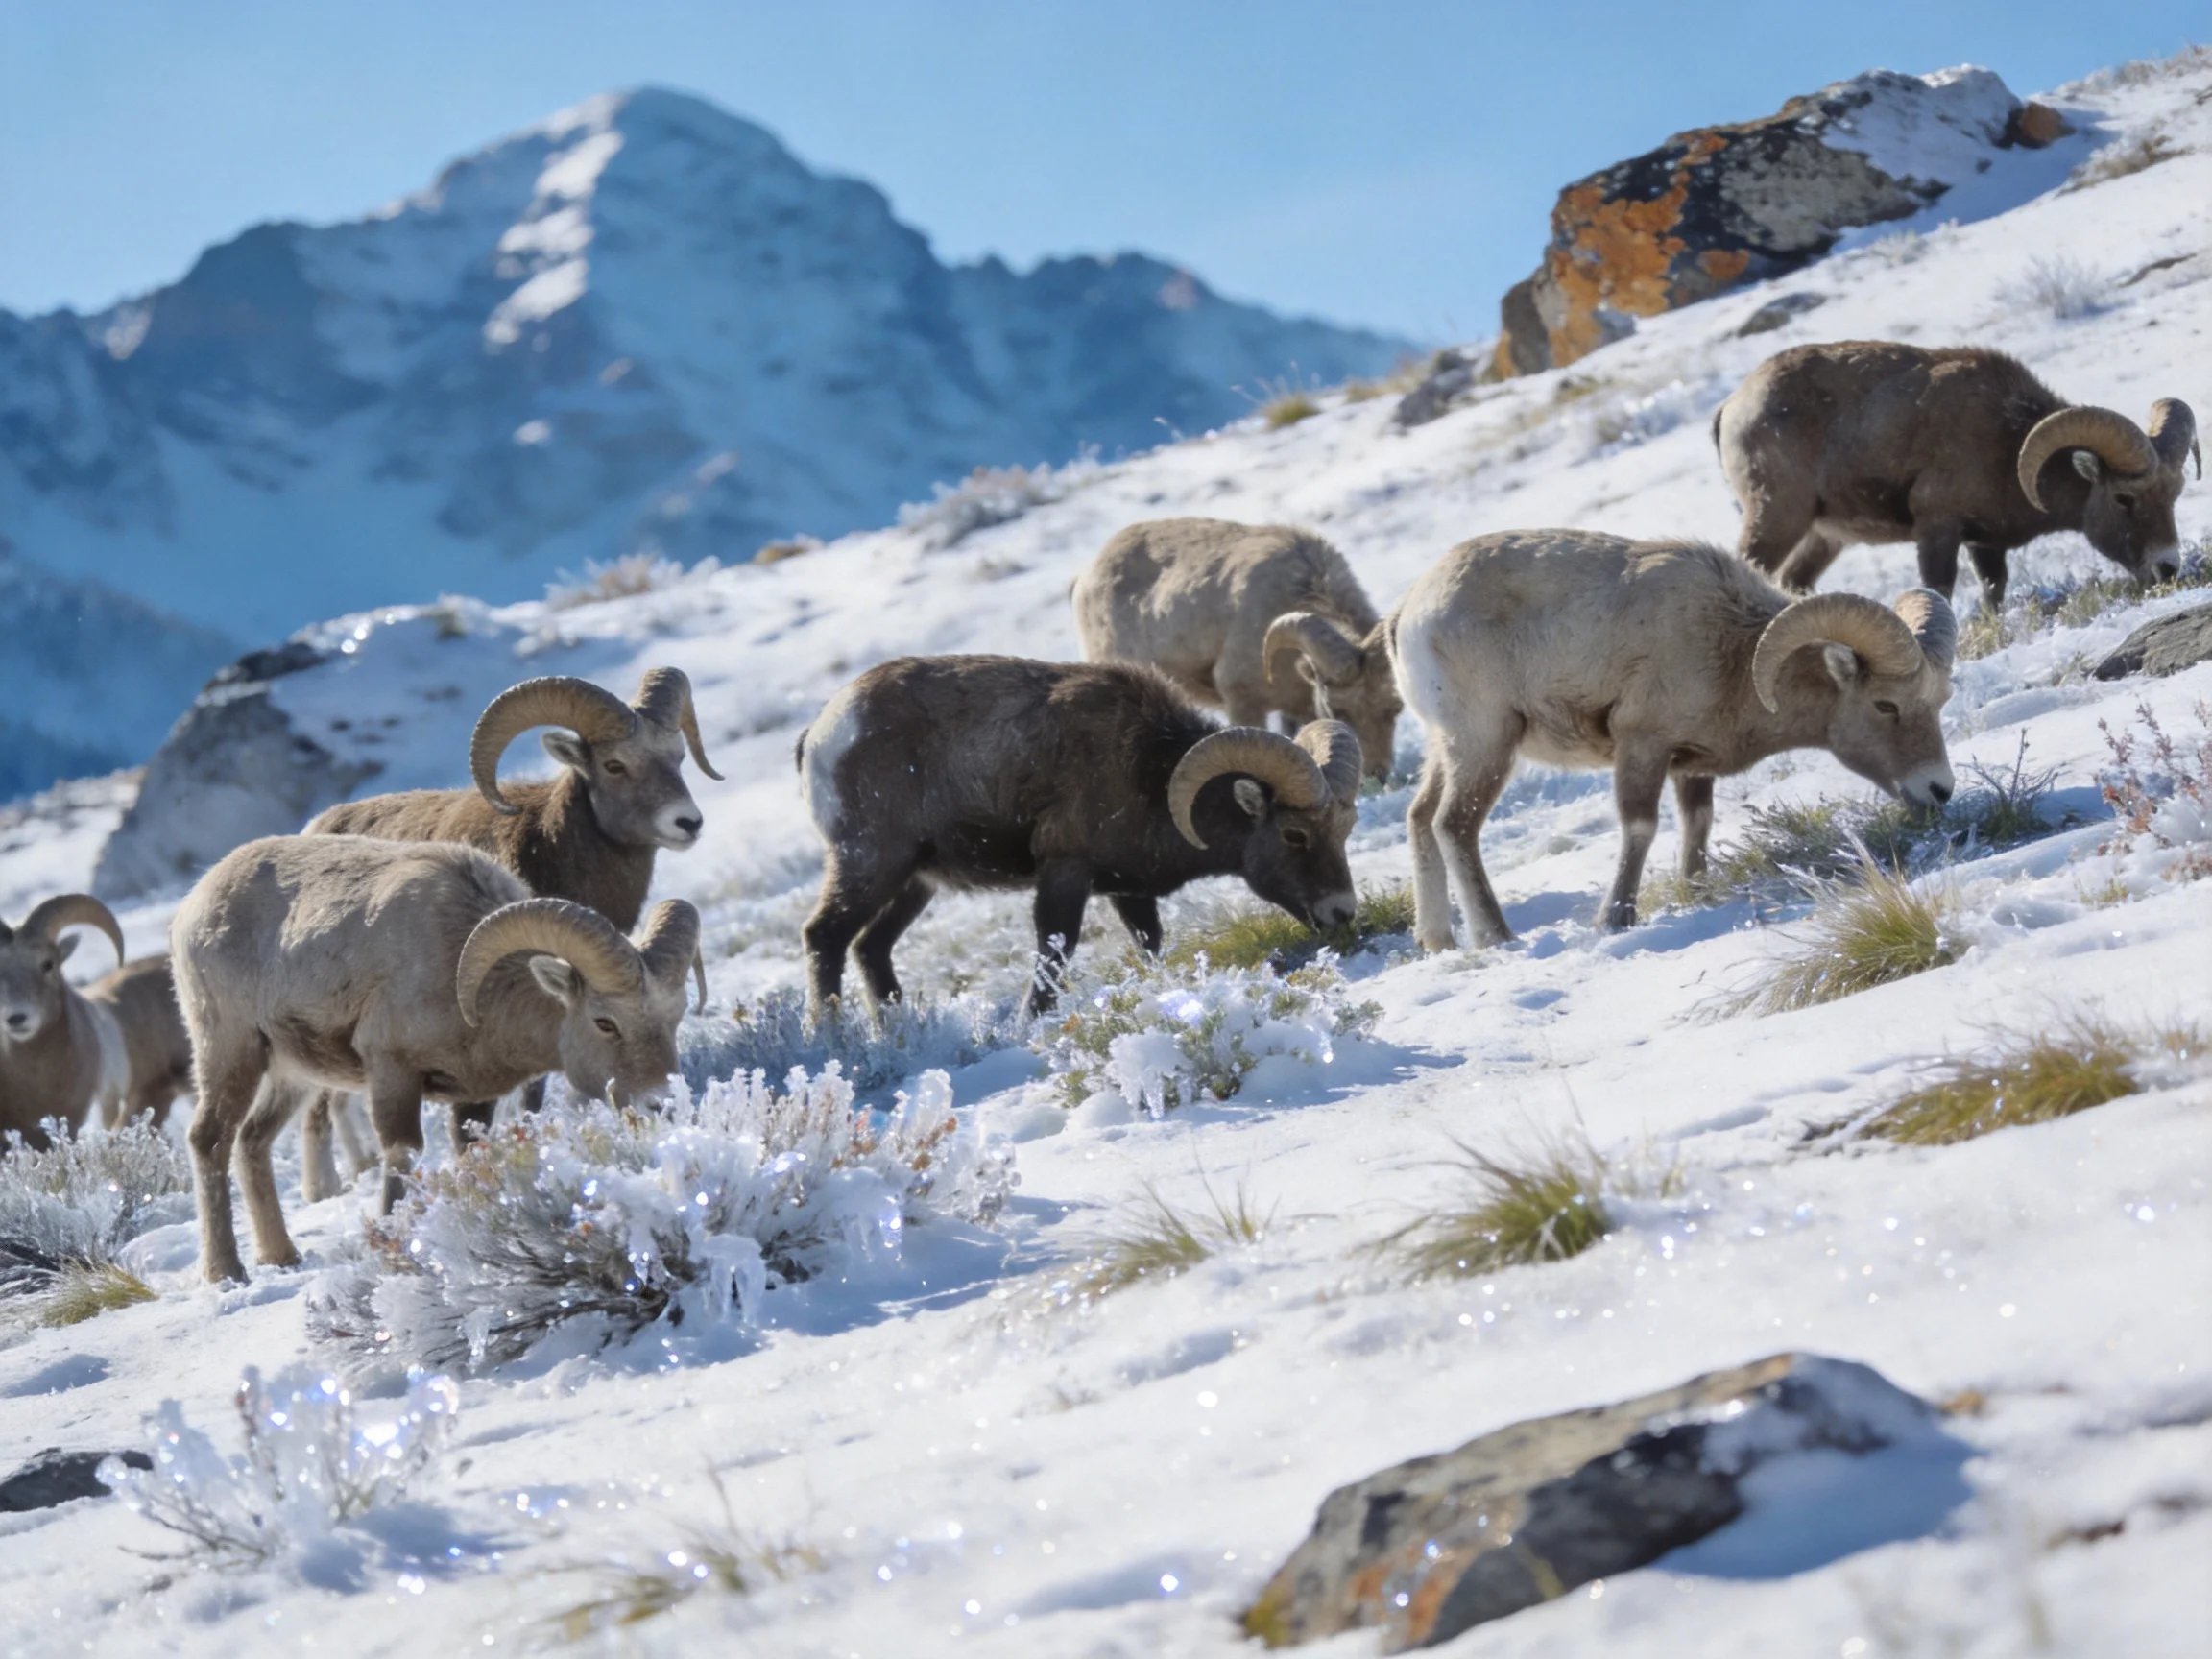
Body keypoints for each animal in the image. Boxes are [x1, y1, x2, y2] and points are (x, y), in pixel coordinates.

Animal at [170, 834, 702, 1284]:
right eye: (605, 1022)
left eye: (675, 1015)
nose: (661, 1103)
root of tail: (192, 905)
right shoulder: (391, 1072)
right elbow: (401, 1159)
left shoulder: (473, 1101)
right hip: (231, 1052)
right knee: (209, 1141)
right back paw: (225, 1272)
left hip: (291, 1075)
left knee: (252, 1141)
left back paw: (281, 1258)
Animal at [797, 655, 1363, 1017]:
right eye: (1294, 835)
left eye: (1344, 829)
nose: (1341, 913)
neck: (1149, 769)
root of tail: (821, 734)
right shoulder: (1066, 873)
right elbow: (1055, 953)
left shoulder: (1128, 893)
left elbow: (1149, 945)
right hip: (872, 863)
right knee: (825, 938)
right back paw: (832, 1035)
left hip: (915, 882)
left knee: (870, 949)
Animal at [1391, 530, 1956, 949]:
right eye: (1886, 705)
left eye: (1940, 700)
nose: (1939, 790)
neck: (1732, 650)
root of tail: (1408, 614)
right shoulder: (1642, 745)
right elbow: (1640, 828)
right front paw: (1614, 920)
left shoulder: (1692, 766)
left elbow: (1697, 825)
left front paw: (1695, 896)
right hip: (1486, 742)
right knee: (1454, 825)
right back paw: (1496, 937)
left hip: (1449, 746)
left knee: (1420, 818)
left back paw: (1437, 941)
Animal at [1714, 342, 2200, 606]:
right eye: (2123, 498)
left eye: (2174, 494)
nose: (2167, 568)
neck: (2006, 439)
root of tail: (1732, 407)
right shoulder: (1939, 529)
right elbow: (1940, 589)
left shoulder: (1984, 545)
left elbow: (1993, 591)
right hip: (1778, 517)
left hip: (1824, 537)